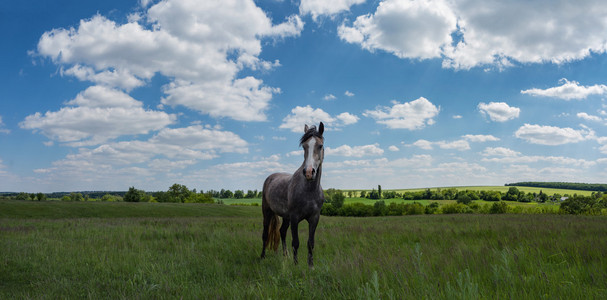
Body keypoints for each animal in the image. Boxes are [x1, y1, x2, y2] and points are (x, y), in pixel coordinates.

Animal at [260, 120, 326, 266]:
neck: (308, 191)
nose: (309, 172)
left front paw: (310, 266)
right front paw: (296, 265)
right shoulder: (295, 218)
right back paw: (262, 256)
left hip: (286, 217)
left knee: (282, 232)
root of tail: (270, 177)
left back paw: (286, 255)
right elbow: (296, 242)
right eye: (304, 147)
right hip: (267, 212)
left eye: (320, 146)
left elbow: (310, 243)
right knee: (265, 234)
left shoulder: (314, 218)